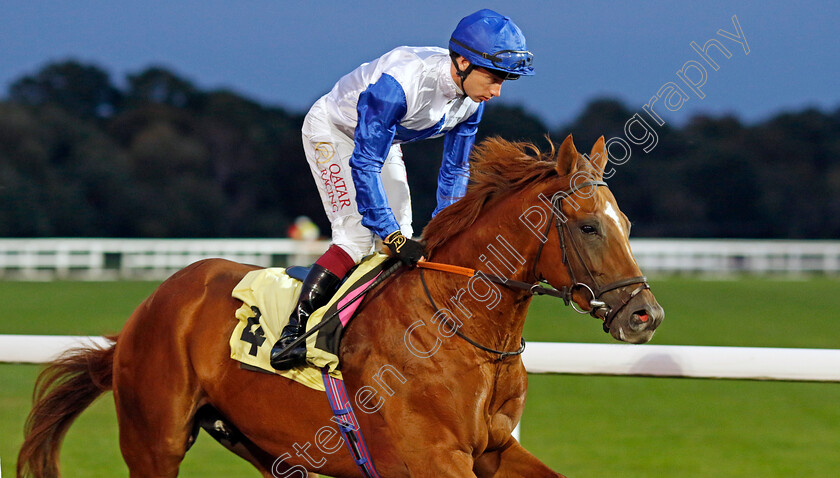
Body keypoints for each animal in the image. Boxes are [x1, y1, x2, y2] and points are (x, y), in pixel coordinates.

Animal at [16, 135, 664, 478]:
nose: (645, 316)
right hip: (155, 443)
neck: (463, 329)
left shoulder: (495, 449)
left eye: (628, 224)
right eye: (587, 227)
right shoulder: (434, 460)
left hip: (267, 446)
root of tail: (149, 307)